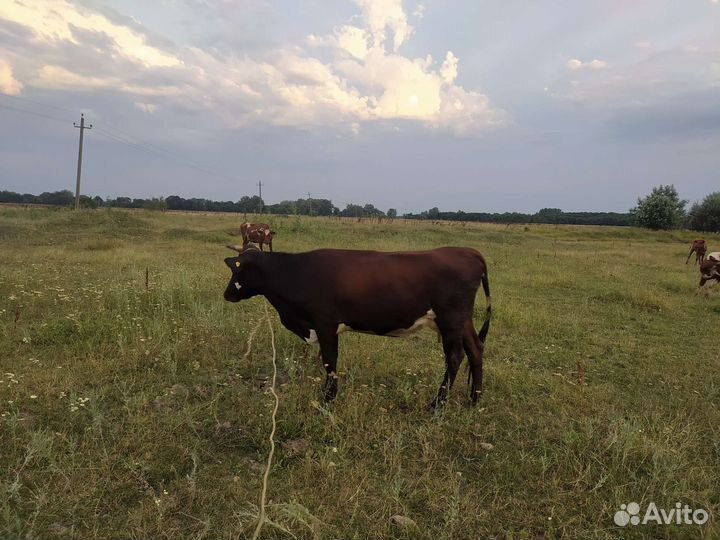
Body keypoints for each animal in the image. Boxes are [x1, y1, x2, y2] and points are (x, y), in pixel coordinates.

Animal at [223, 247, 492, 407]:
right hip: (461, 321)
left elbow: (330, 361)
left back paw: (438, 404)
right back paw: (474, 400)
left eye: (238, 270)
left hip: (450, 319)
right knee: (475, 349)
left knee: (455, 357)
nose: (227, 294)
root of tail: (467, 251)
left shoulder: (325, 324)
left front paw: (328, 398)